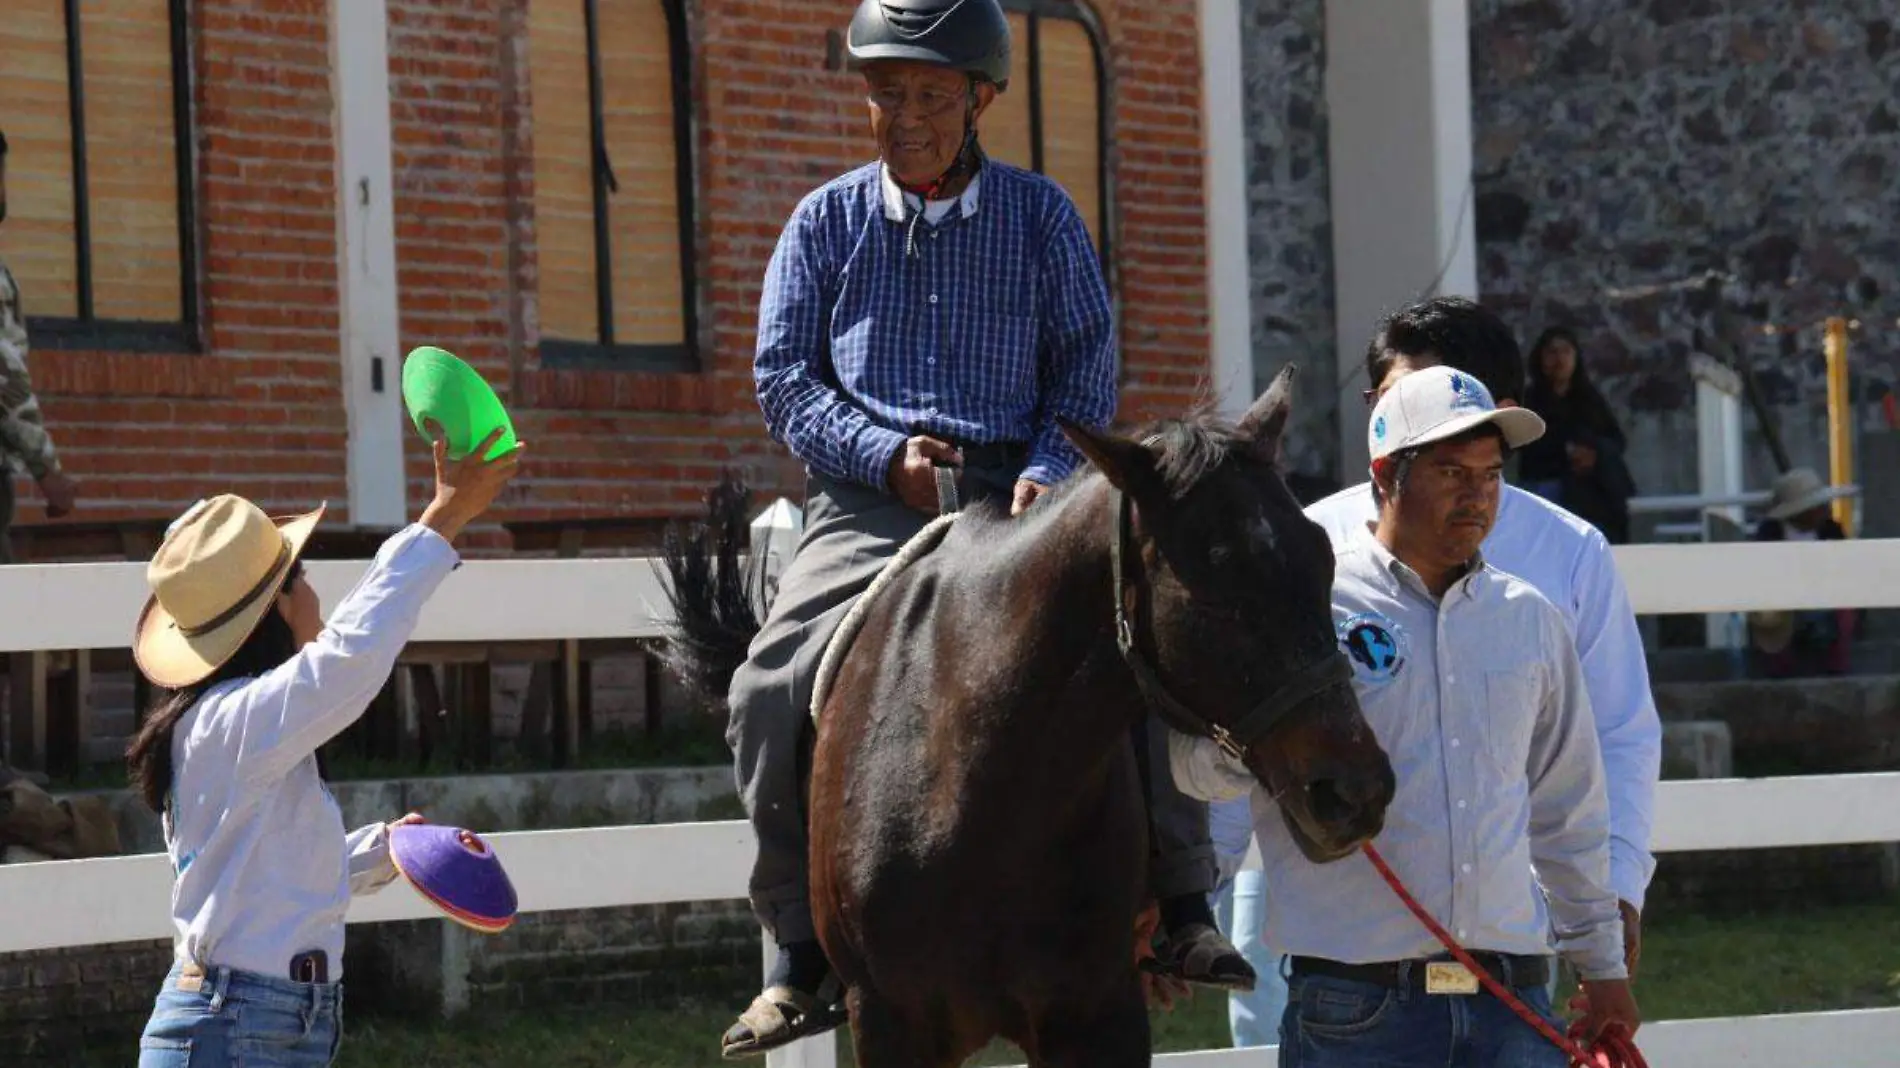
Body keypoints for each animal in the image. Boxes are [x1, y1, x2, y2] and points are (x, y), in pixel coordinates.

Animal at [668, 362, 1398, 1056]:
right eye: (1213, 587)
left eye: (1323, 558)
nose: (1354, 790)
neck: (976, 777)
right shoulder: (888, 1023)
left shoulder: (1099, 1016)